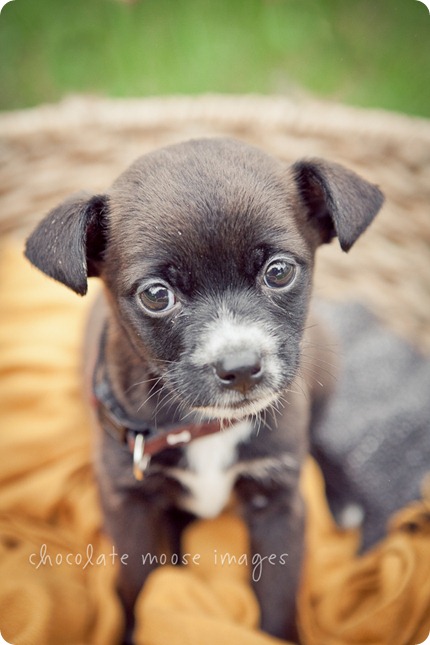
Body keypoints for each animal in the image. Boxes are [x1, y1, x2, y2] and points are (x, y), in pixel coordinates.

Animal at [25, 138, 384, 640]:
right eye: (156, 295)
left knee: (316, 434)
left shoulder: (279, 505)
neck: (206, 427)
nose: (241, 367)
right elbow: (138, 585)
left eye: (278, 271)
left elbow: (278, 597)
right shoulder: (128, 505)